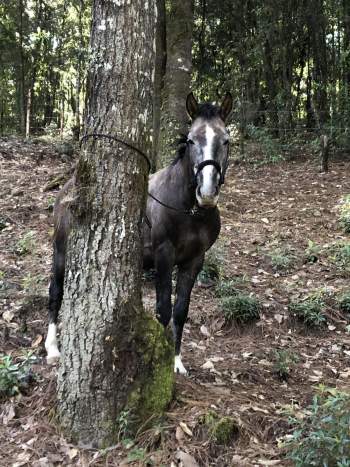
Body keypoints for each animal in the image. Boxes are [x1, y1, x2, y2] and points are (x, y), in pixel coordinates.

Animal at [45, 92, 232, 376]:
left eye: (226, 140)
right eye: (191, 140)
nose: (207, 191)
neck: (188, 210)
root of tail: (67, 189)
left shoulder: (194, 261)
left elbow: (180, 311)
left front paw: (177, 362)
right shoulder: (164, 255)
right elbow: (163, 308)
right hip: (61, 253)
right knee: (56, 293)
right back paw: (52, 349)